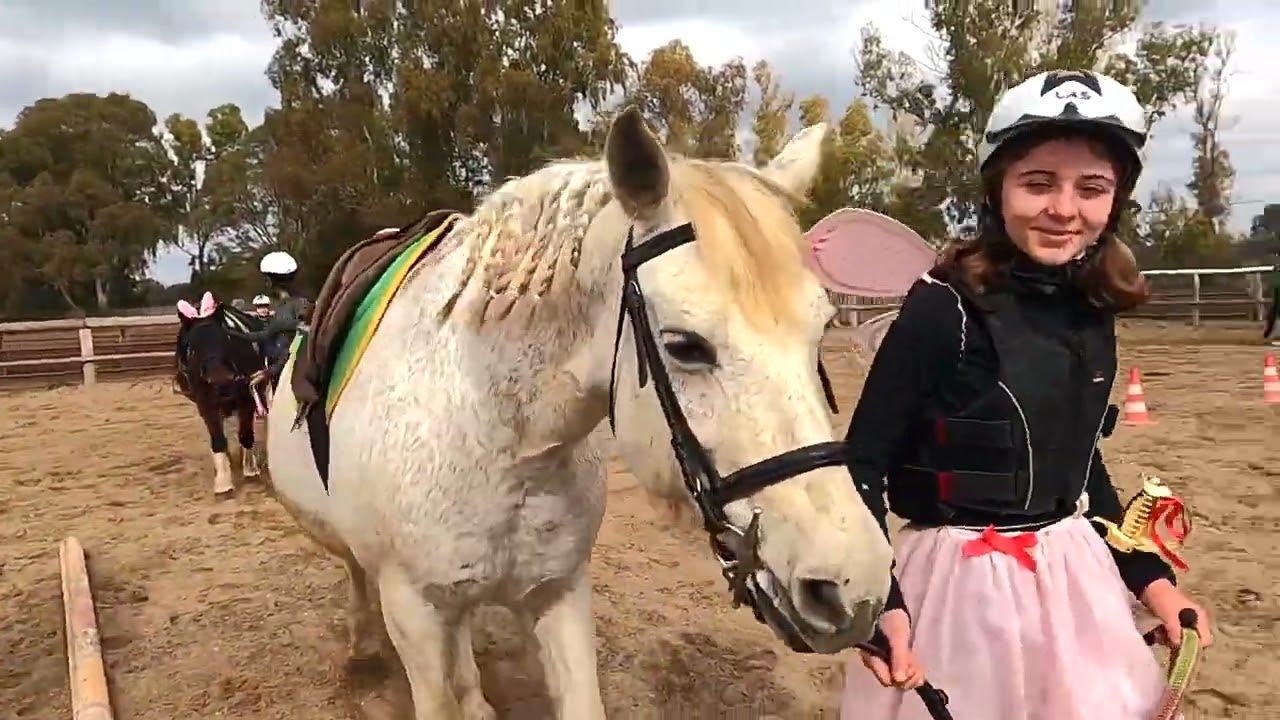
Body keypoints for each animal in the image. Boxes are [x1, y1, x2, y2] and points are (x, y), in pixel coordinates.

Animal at [175, 291, 270, 498]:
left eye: (225, 338)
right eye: (192, 347)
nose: (221, 381)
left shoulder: (247, 399)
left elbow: (245, 434)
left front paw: (250, 469)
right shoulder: (206, 404)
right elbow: (218, 440)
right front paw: (223, 482)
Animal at [263, 108, 894, 719]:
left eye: (821, 330)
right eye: (685, 346)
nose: (855, 585)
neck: (498, 438)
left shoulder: (559, 591)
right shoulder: (413, 612)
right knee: (356, 573)